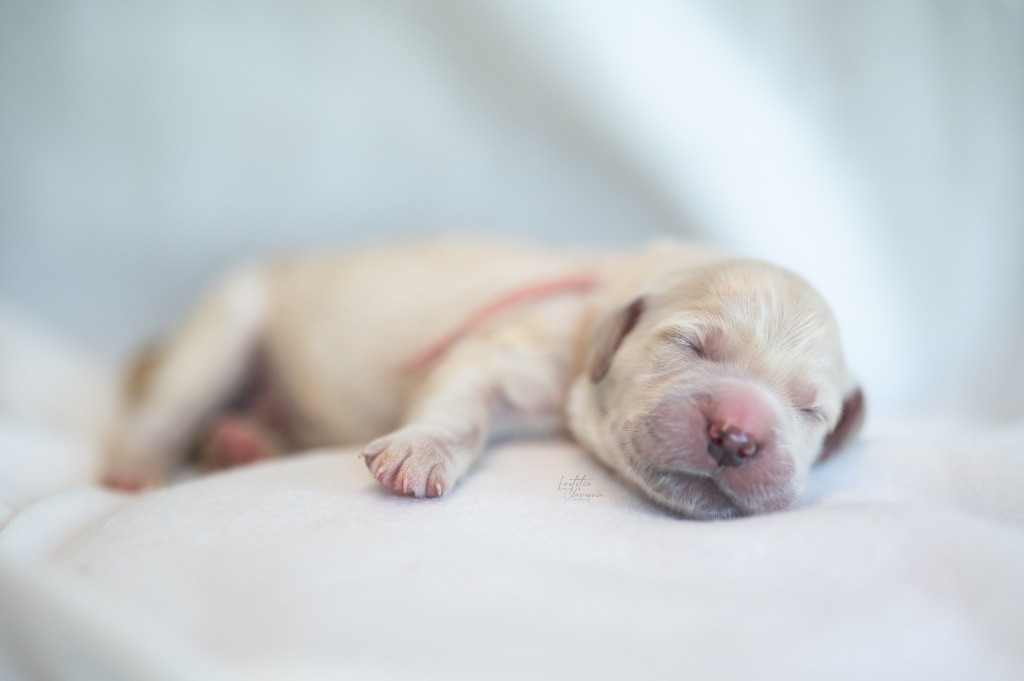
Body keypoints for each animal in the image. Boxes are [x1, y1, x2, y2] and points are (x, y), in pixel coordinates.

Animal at [105, 239, 863, 519]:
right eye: (691, 344)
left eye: (812, 411)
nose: (736, 435)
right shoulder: (506, 350)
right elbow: (461, 405)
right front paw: (421, 452)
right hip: (225, 325)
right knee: (168, 406)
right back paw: (138, 465)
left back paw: (242, 442)